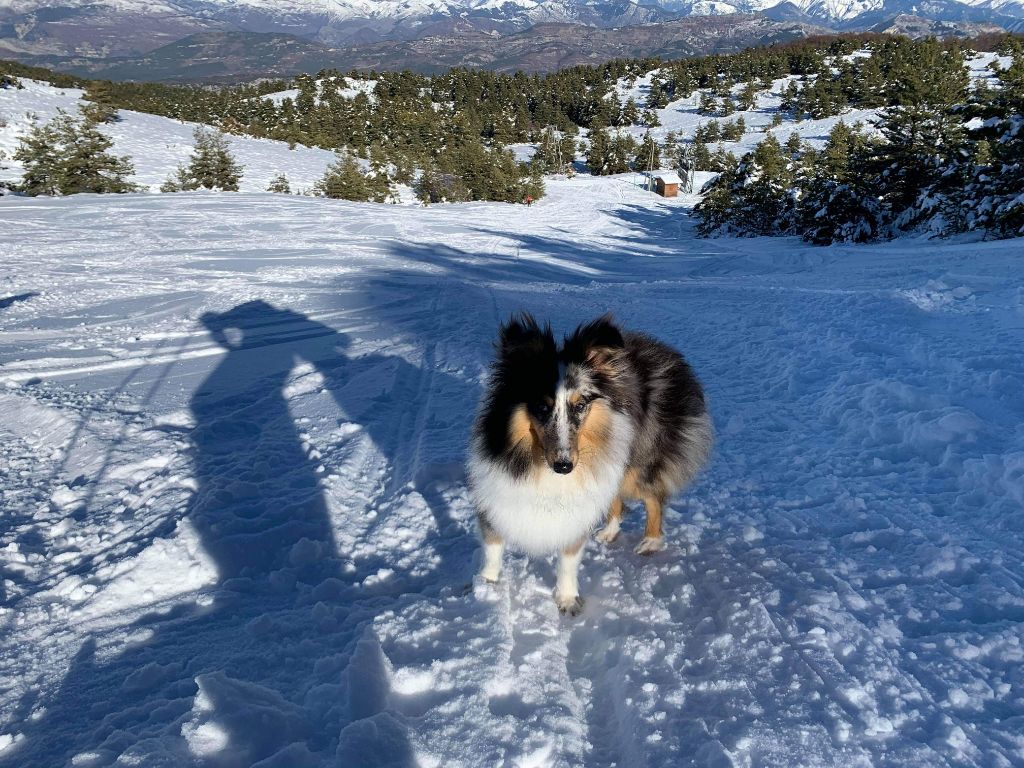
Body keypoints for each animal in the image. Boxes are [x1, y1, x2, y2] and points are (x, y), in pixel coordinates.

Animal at [468, 315, 712, 618]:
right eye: (542, 407)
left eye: (581, 404)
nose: (564, 467)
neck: (538, 463)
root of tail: (664, 352)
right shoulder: (494, 492)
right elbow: (493, 545)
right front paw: (486, 587)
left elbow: (569, 558)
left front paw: (567, 600)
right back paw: (609, 532)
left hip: (634, 463)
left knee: (654, 496)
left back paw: (650, 541)